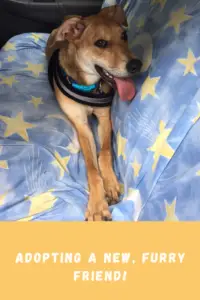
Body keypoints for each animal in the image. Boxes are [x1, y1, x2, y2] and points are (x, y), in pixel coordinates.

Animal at [45, 4, 142, 220]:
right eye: (101, 43)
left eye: (124, 35)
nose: (136, 65)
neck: (89, 86)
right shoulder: (81, 125)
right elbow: (91, 167)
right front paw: (97, 206)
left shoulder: (105, 118)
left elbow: (104, 152)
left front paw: (111, 184)